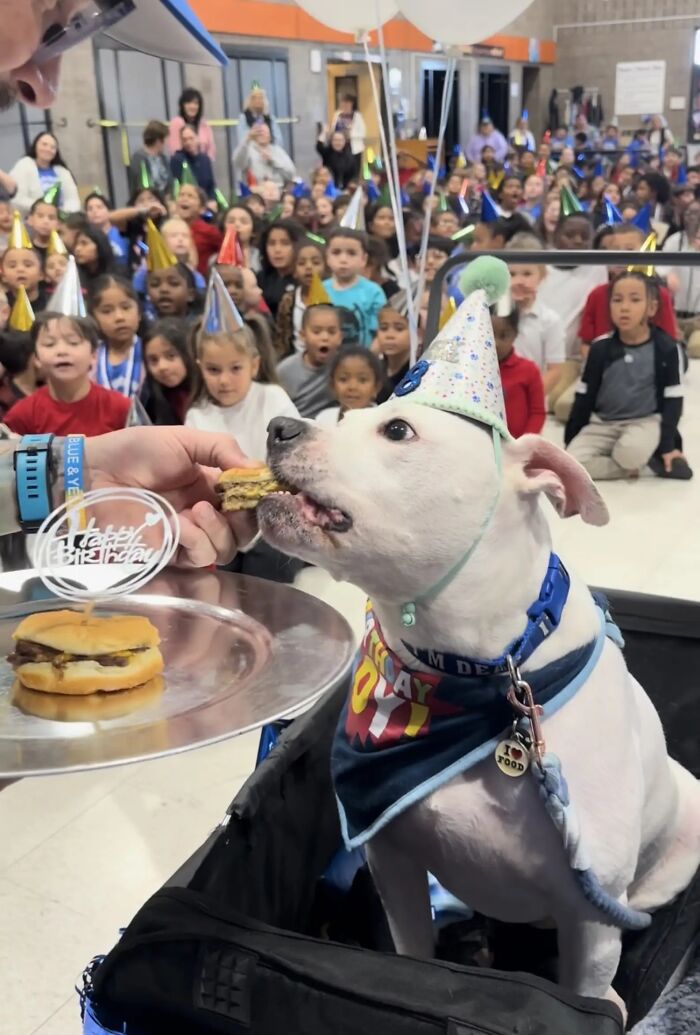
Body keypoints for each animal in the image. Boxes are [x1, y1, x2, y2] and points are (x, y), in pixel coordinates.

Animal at [258, 403, 699, 1010]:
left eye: (398, 430)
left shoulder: (591, 923)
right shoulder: (393, 865)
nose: (278, 427)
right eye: (343, 415)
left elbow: (584, 991)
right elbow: (412, 949)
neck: (464, 672)